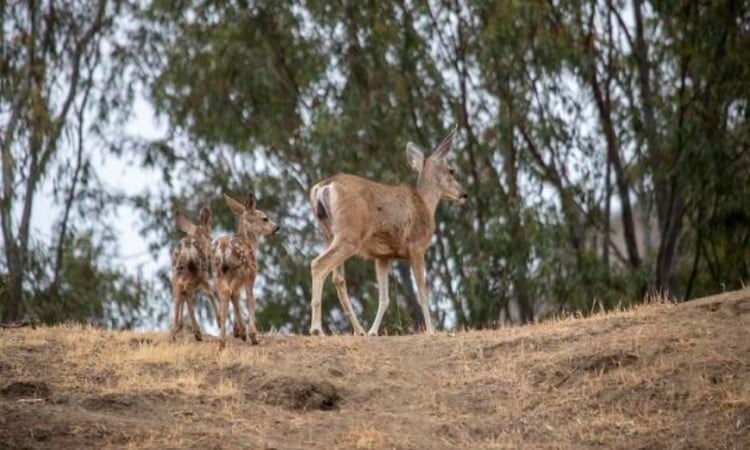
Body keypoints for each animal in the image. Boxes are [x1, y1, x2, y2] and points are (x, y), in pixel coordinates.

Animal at [174, 207, 223, 342]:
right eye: (210, 238)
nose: (211, 251)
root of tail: (187, 250)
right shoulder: (204, 276)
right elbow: (209, 292)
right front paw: (219, 321)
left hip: (176, 275)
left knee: (180, 294)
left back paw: (174, 331)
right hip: (199, 273)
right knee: (188, 293)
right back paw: (197, 333)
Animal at [213, 193, 280, 348]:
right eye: (265, 218)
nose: (277, 227)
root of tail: (224, 248)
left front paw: (239, 331)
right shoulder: (251, 276)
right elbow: (250, 299)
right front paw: (252, 335)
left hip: (218, 273)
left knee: (226, 293)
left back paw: (222, 340)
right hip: (240, 270)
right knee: (232, 293)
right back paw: (239, 335)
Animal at [308, 128, 468, 336]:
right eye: (451, 170)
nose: (464, 194)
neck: (425, 204)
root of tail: (323, 187)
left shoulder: (383, 256)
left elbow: (384, 299)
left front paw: (373, 332)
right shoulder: (417, 247)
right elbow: (423, 293)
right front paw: (431, 331)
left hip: (328, 233)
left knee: (338, 278)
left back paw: (359, 330)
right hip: (350, 234)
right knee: (318, 264)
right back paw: (316, 329)